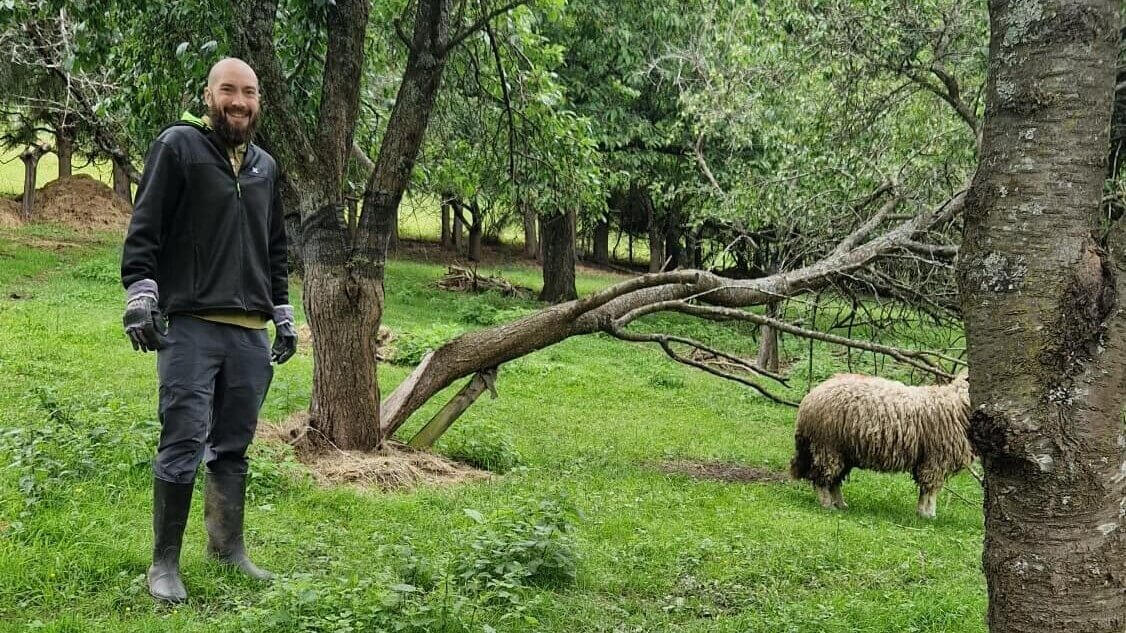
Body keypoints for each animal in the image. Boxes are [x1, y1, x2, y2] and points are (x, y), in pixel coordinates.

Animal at [789, 372, 972, 518]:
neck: (958, 403)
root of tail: (809, 400)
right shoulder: (935, 460)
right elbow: (931, 489)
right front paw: (929, 514)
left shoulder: (928, 460)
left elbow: (924, 489)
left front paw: (922, 512)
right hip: (827, 446)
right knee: (822, 477)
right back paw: (827, 504)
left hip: (843, 451)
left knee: (834, 479)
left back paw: (840, 504)